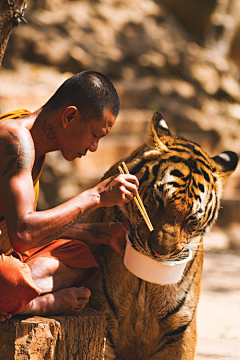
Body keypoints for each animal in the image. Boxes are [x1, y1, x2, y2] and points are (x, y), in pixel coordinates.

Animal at [85, 111, 237, 358]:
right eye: (157, 200)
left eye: (192, 219)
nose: (160, 253)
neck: (145, 283)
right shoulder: (103, 318)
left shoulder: (181, 330)